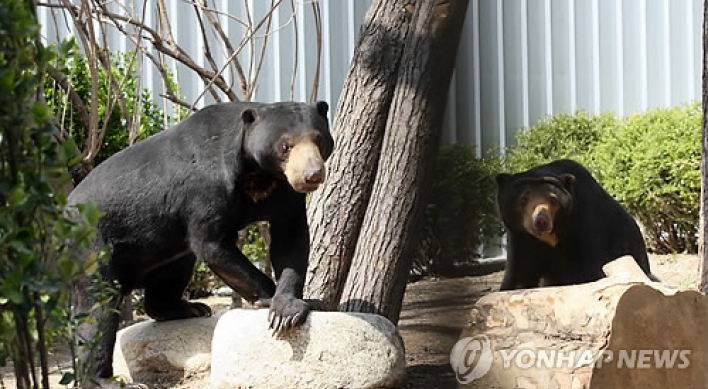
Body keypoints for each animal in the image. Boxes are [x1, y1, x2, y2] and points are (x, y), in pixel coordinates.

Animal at [492, 159, 652, 290]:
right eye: (523, 199)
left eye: (553, 199)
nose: (541, 221)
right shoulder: (521, 238)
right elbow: (519, 274)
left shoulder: (583, 225)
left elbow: (587, 271)